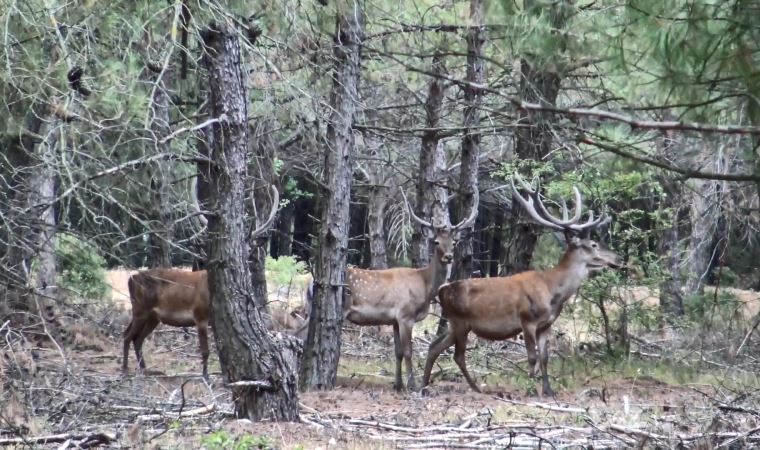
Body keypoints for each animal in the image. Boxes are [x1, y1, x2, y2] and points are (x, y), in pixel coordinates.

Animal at [121, 186, 288, 380]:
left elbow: (221, 351)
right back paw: (125, 369)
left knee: (137, 338)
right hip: (140, 309)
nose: (243, 260)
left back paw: (146, 370)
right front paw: (206, 376)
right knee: (127, 335)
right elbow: (206, 350)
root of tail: (131, 279)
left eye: (249, 248)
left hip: (152, 317)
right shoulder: (199, 315)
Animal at [342, 189, 478, 390]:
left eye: (454, 242)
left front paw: (397, 384)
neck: (424, 286)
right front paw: (411, 385)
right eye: (436, 241)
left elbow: (397, 351)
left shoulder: (394, 320)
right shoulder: (405, 315)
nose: (448, 257)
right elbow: (408, 351)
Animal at [422, 176, 624, 394]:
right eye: (594, 244)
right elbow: (532, 357)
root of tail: (442, 291)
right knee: (457, 355)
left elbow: (545, 357)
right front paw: (530, 387)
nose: (618, 258)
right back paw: (475, 387)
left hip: (454, 324)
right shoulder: (527, 320)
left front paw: (548, 391)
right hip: (460, 322)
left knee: (434, 346)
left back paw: (422, 384)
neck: (553, 291)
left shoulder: (546, 324)